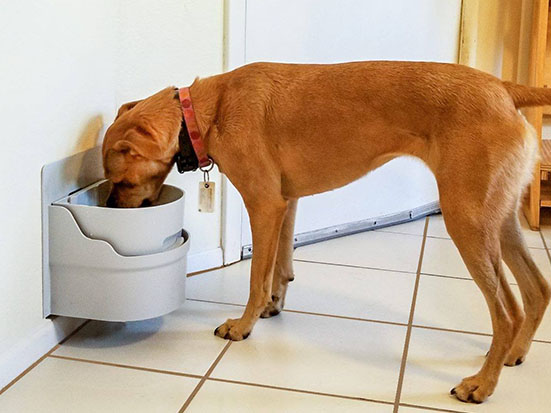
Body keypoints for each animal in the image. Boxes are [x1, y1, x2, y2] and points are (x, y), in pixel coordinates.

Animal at [101, 61, 551, 402]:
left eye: (120, 180)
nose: (109, 208)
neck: (208, 111)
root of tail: (503, 88)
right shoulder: (287, 203)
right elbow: (280, 267)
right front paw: (273, 305)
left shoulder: (264, 205)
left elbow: (256, 277)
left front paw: (244, 325)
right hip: (498, 220)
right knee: (537, 289)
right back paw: (514, 354)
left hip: (467, 221)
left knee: (508, 311)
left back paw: (483, 384)